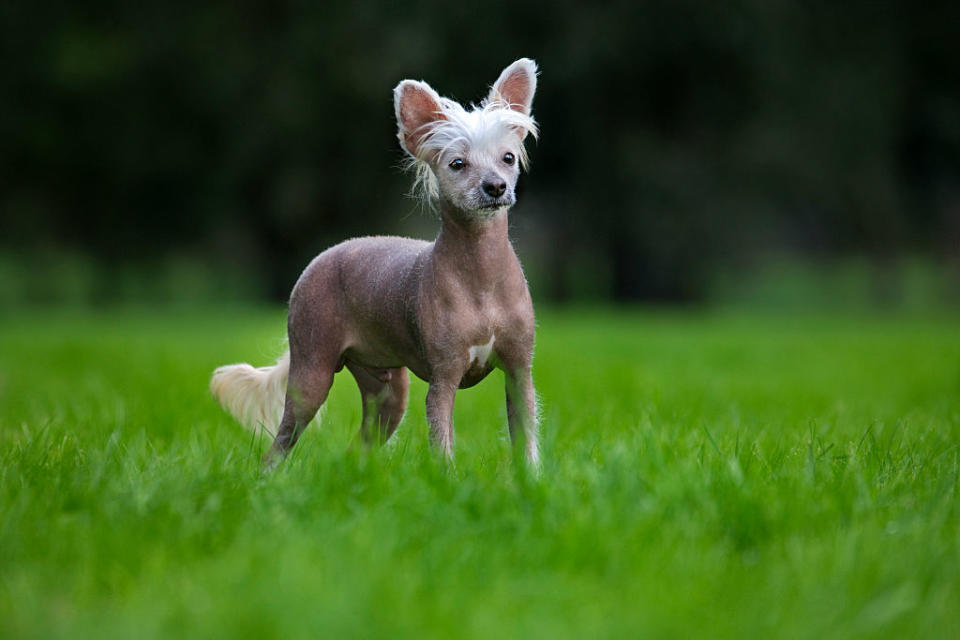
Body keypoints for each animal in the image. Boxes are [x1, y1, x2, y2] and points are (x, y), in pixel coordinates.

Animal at [211, 58, 540, 470]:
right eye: (457, 164)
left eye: (508, 158)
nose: (495, 186)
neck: (482, 275)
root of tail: (322, 257)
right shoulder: (443, 380)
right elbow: (442, 442)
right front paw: (448, 480)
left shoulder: (519, 373)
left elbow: (526, 439)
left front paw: (530, 479)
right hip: (311, 375)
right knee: (280, 445)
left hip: (387, 393)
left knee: (358, 448)